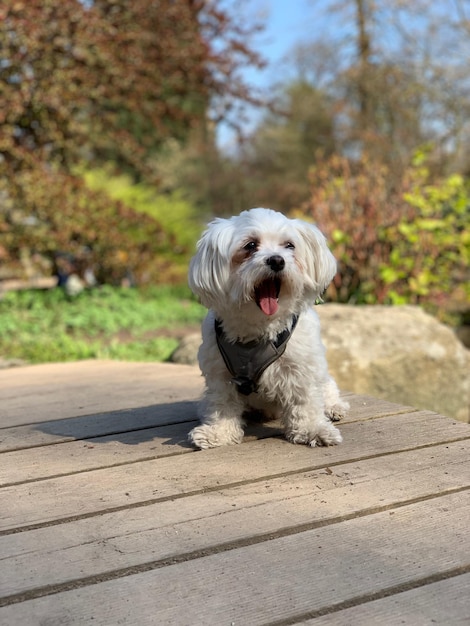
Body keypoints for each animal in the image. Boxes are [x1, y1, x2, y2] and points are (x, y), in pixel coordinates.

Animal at [188, 208, 348, 448]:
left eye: (289, 245)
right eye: (251, 245)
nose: (276, 260)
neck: (260, 327)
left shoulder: (301, 367)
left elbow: (305, 400)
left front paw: (313, 430)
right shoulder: (220, 372)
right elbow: (222, 403)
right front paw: (218, 432)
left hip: (322, 376)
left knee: (327, 389)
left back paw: (334, 407)